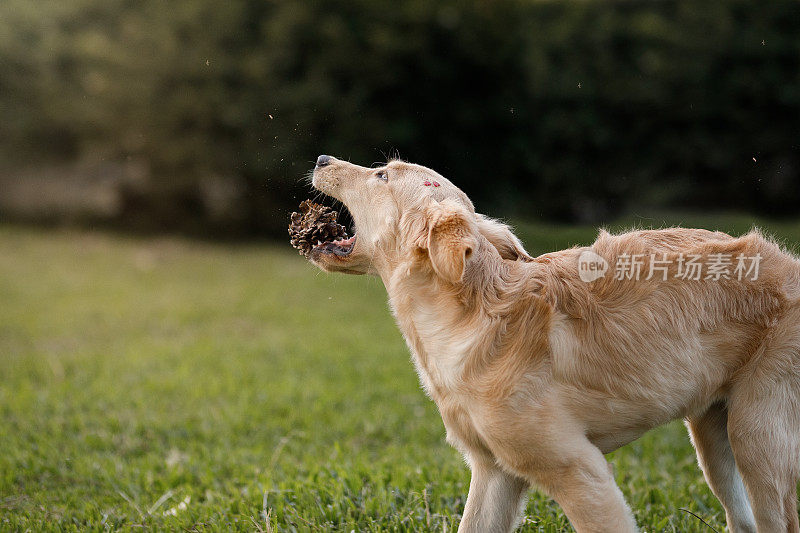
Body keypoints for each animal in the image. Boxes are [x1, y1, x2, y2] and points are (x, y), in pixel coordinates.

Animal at [306, 155, 800, 532]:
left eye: (382, 176)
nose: (322, 159)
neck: (469, 313)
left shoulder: (579, 470)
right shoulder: (495, 473)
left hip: (758, 435)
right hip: (713, 436)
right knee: (743, 519)